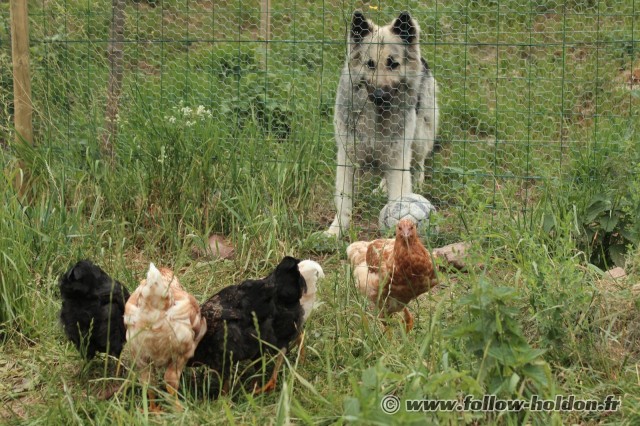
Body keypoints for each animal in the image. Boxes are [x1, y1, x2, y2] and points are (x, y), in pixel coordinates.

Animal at [328, 10, 438, 236]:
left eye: (393, 63)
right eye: (370, 63)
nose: (379, 95)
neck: (377, 118)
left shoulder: (398, 157)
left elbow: (400, 195)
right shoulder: (347, 158)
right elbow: (343, 200)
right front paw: (337, 231)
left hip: (419, 136)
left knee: (418, 162)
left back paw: (418, 182)